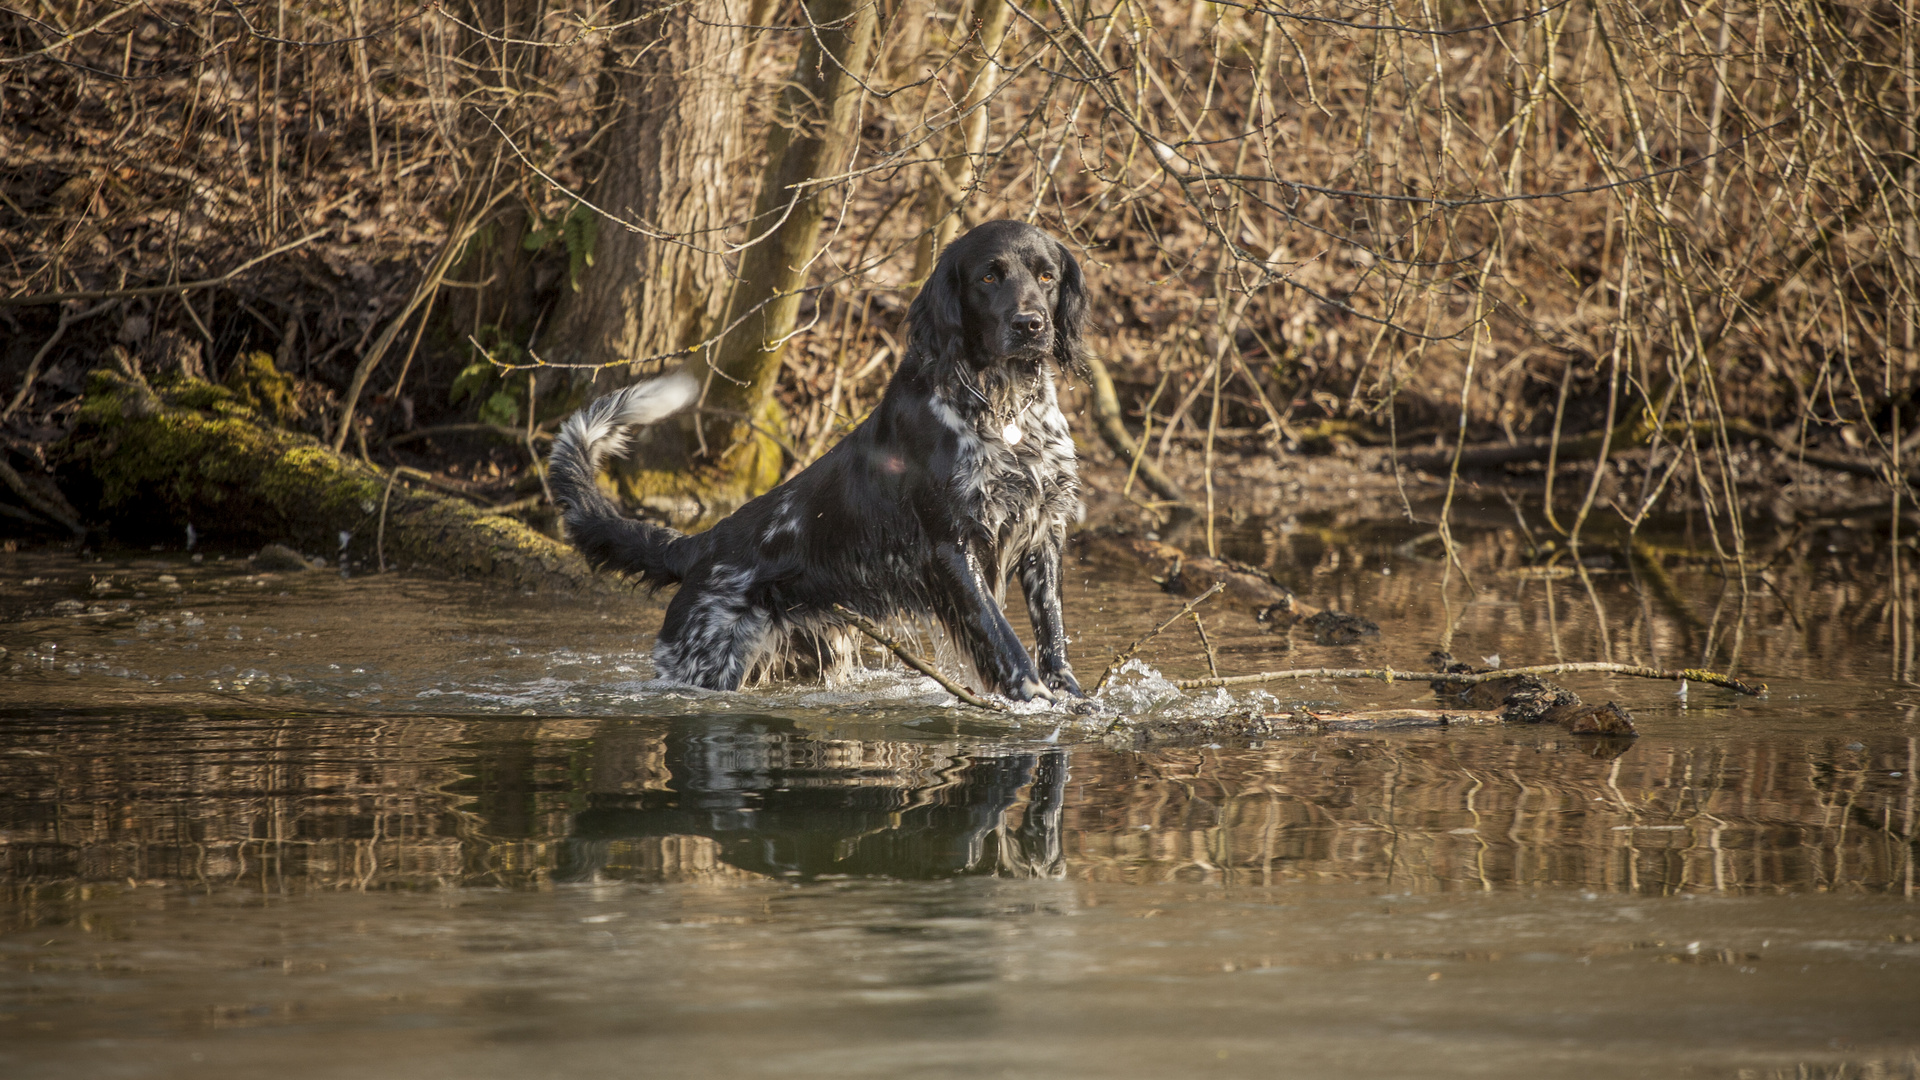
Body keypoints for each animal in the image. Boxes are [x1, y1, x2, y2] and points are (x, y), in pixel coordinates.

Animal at [549, 220, 1090, 699]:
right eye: (988, 277)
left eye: (1046, 276)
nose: (1030, 324)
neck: (1005, 411)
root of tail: (698, 545)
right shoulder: (954, 546)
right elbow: (1003, 639)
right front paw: (1035, 698)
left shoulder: (1044, 531)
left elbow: (1052, 633)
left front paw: (1070, 695)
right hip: (706, 662)